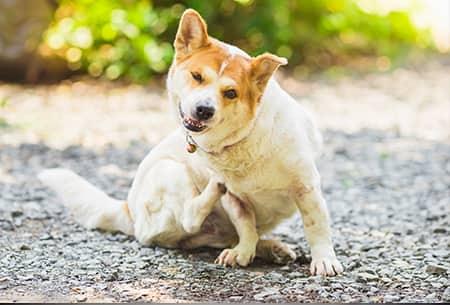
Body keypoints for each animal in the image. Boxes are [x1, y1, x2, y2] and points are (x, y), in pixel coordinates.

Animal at [38, 8, 342, 276]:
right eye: (197, 76)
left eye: (231, 93)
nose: (204, 110)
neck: (244, 139)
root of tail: (128, 210)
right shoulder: (235, 200)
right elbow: (245, 224)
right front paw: (244, 251)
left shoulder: (306, 187)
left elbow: (315, 225)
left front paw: (323, 260)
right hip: (169, 171)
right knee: (190, 217)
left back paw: (270, 248)